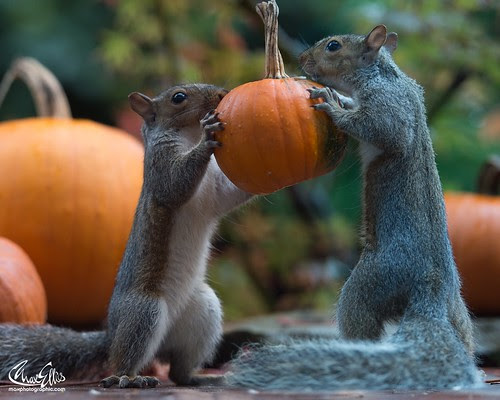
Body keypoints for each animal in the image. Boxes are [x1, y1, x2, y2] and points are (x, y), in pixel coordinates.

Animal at [0, 83, 252, 388]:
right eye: (178, 97)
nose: (222, 94)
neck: (187, 135)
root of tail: (111, 335)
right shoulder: (159, 167)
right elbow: (175, 184)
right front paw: (207, 137)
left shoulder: (214, 193)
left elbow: (232, 193)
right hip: (144, 311)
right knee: (123, 359)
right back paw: (128, 378)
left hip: (204, 310)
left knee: (178, 371)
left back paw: (200, 378)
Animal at [228, 25, 484, 390]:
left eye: (333, 47)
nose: (302, 59)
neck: (383, 73)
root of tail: (431, 291)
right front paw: (341, 100)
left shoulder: (388, 104)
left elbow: (383, 130)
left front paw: (333, 107)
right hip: (456, 310)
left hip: (371, 281)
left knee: (359, 318)